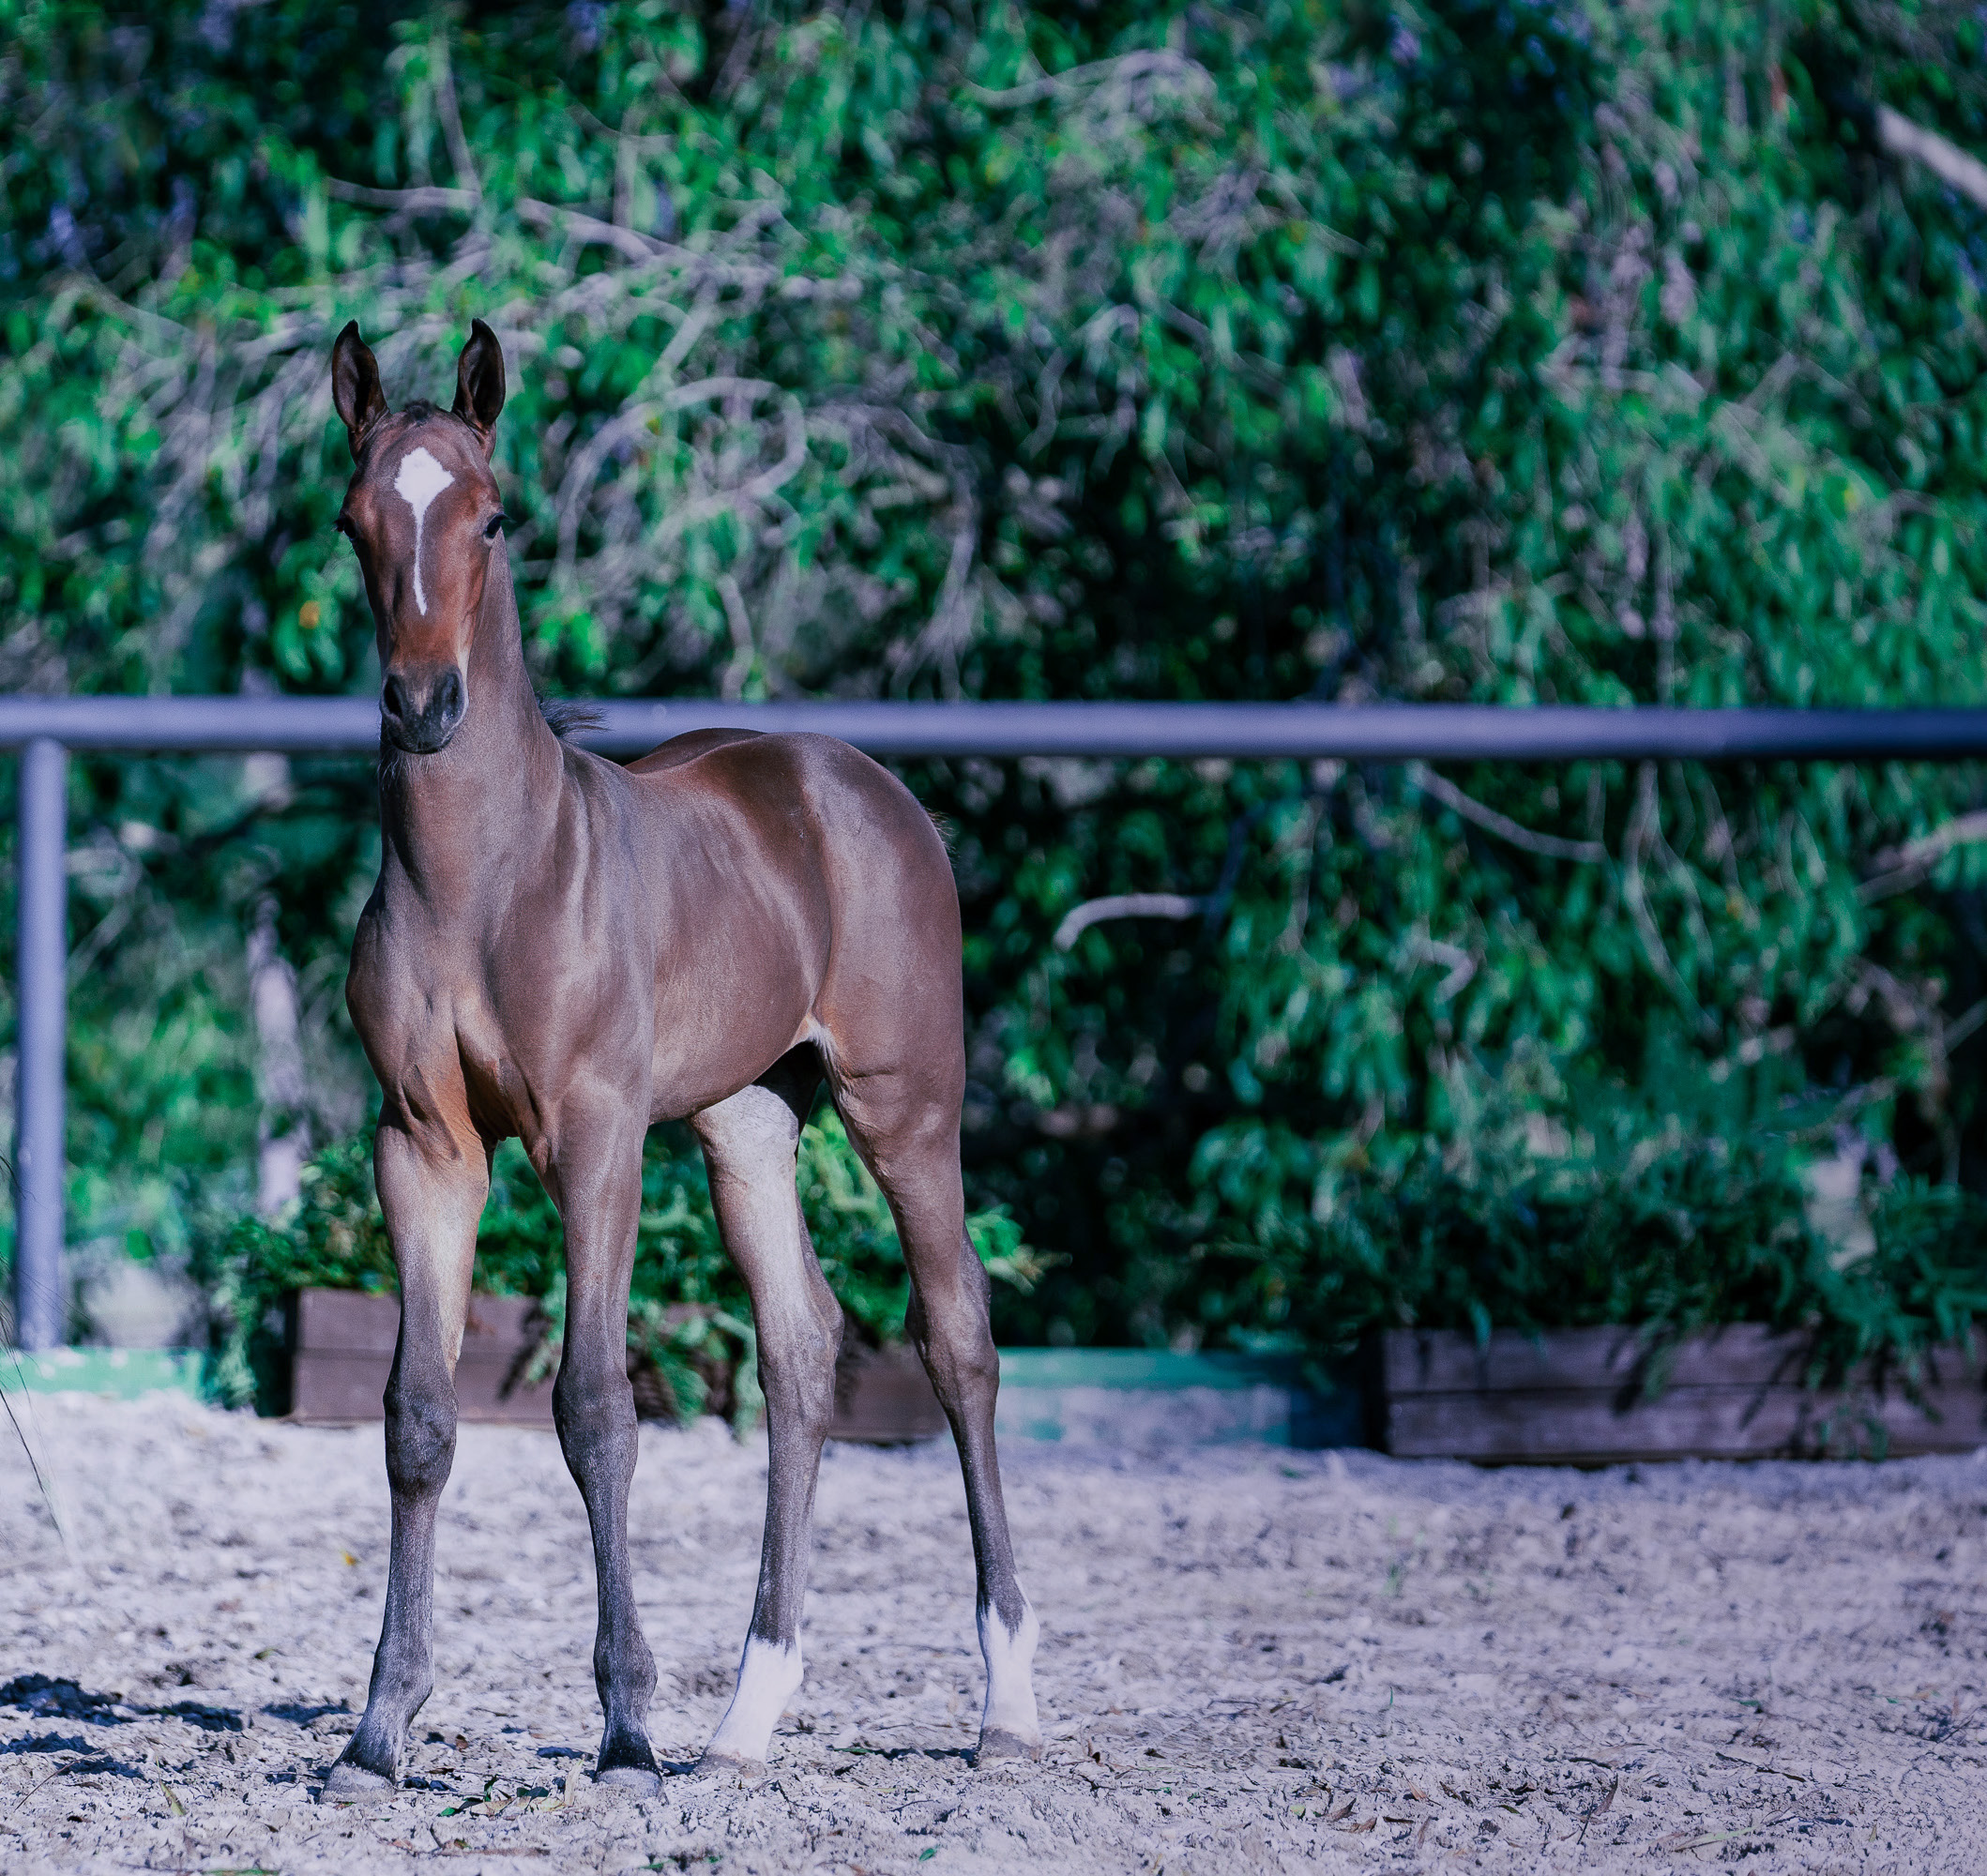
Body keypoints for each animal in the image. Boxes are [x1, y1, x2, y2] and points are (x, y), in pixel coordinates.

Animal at [319, 319, 1041, 1796]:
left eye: (493, 515)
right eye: (355, 518)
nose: (423, 705)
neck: (487, 881)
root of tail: (862, 786)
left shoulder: (594, 1139)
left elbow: (596, 1406)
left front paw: (626, 1727)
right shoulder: (424, 1146)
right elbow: (417, 1418)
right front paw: (378, 1729)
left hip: (905, 1109)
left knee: (957, 1339)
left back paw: (1005, 1702)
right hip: (746, 1122)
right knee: (804, 1350)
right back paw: (747, 1717)